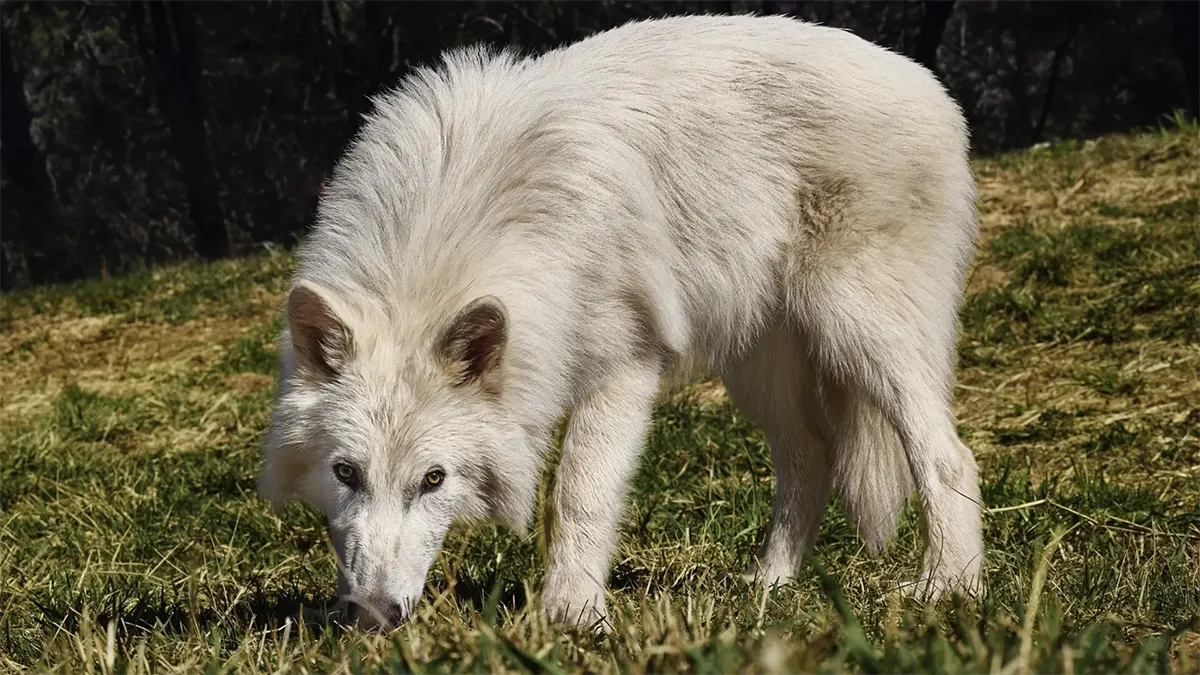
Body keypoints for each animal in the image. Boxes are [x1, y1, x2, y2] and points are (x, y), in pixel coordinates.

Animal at [259, 13, 984, 632]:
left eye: (433, 479)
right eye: (346, 472)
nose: (370, 616)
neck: (459, 226)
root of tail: (928, 83)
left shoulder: (625, 367)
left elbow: (578, 493)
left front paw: (574, 616)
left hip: (861, 334)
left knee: (947, 455)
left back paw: (948, 587)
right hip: (759, 370)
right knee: (812, 457)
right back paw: (770, 585)